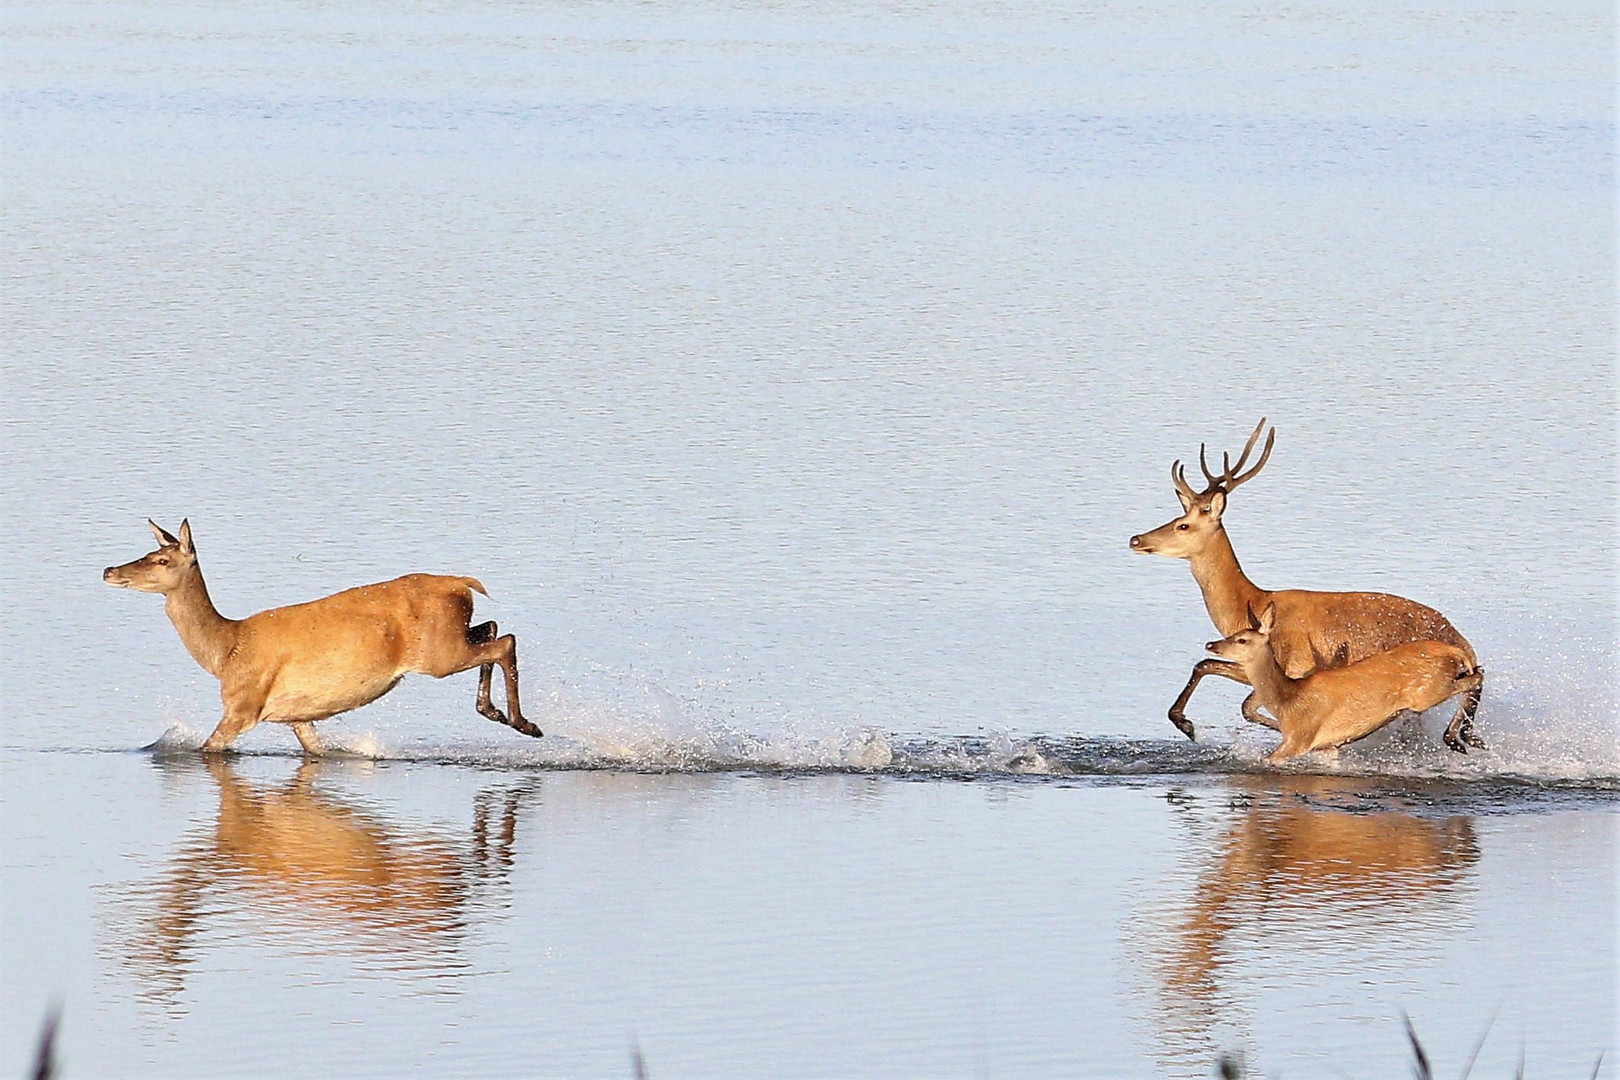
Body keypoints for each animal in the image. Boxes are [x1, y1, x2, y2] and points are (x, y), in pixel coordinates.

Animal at [106, 518, 544, 757]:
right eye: (147, 552)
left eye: (162, 559)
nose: (109, 569)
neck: (225, 650)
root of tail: (463, 584)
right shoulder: (299, 716)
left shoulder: (242, 705)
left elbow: (207, 748)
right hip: (452, 636)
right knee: (493, 628)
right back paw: (497, 712)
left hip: (437, 652)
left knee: (505, 641)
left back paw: (523, 723)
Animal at [1205, 605, 1483, 764]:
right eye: (1234, 633)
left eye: (1241, 639)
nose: (1211, 644)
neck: (1287, 701)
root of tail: (1452, 650)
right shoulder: (1328, 747)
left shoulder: (1300, 738)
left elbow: (1267, 760)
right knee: (1478, 672)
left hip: (1427, 691)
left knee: (1475, 678)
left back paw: (1459, 739)